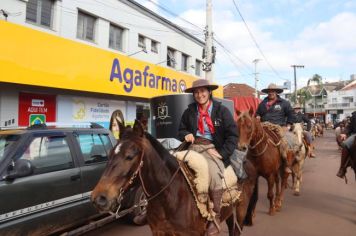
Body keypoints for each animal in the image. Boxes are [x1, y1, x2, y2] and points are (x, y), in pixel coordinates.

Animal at [90, 121, 258, 235]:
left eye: (130, 156)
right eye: (110, 153)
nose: (99, 198)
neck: (170, 196)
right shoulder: (159, 232)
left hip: (239, 213)